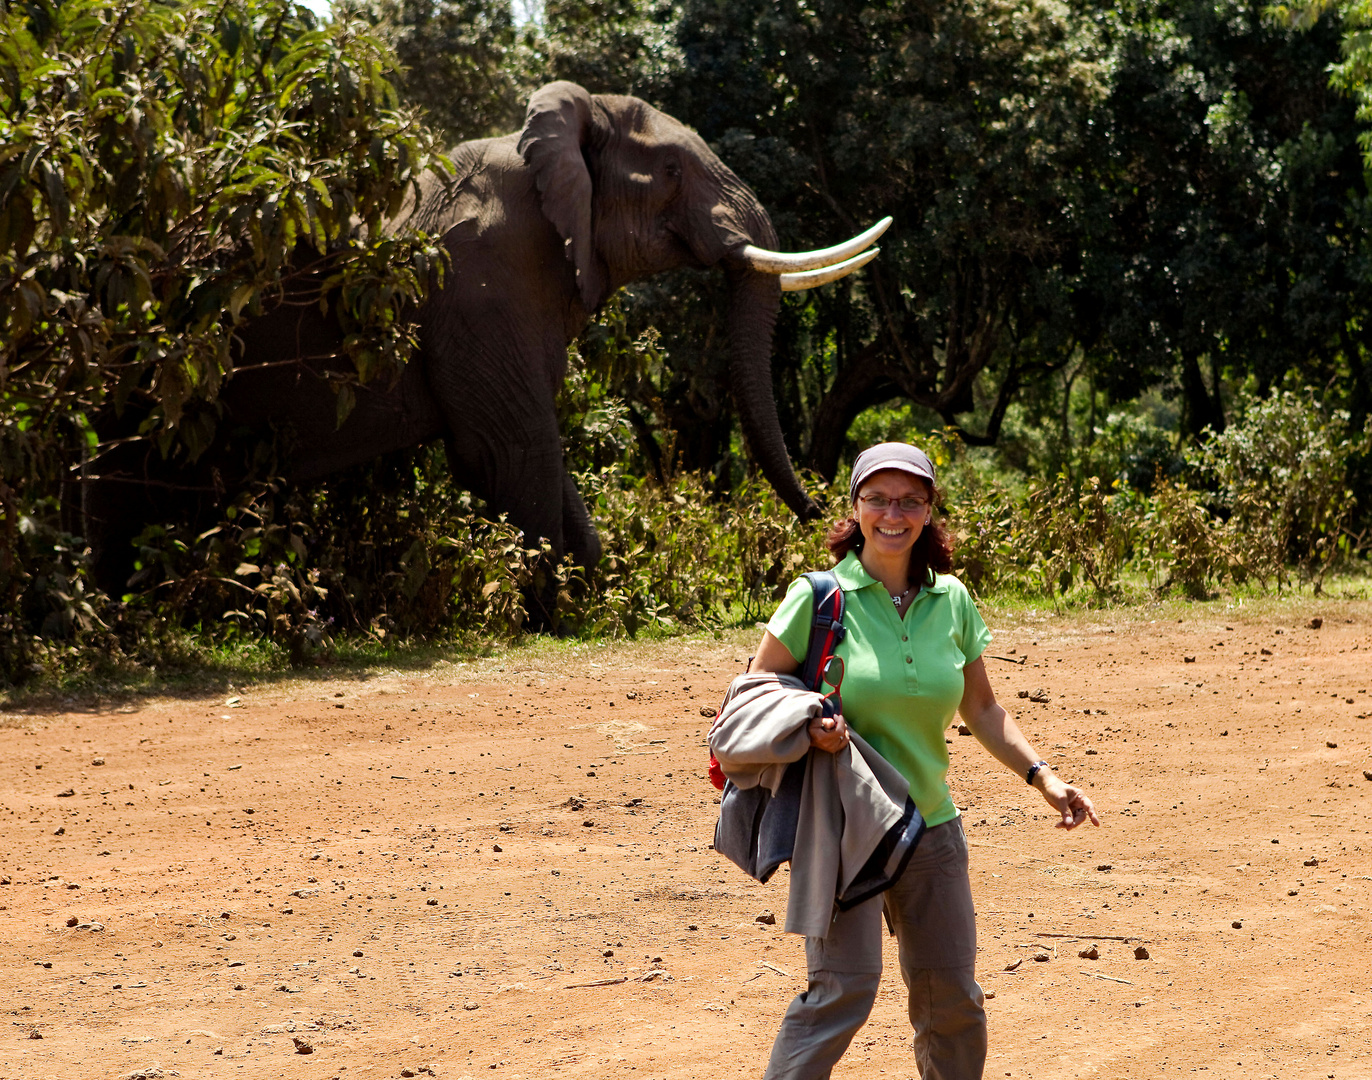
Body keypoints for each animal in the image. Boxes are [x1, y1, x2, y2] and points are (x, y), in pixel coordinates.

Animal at [83, 83, 889, 603]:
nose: (828, 519)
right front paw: (555, 619)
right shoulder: (482, 286)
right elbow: (512, 448)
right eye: (669, 171)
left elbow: (539, 453)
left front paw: (597, 604)